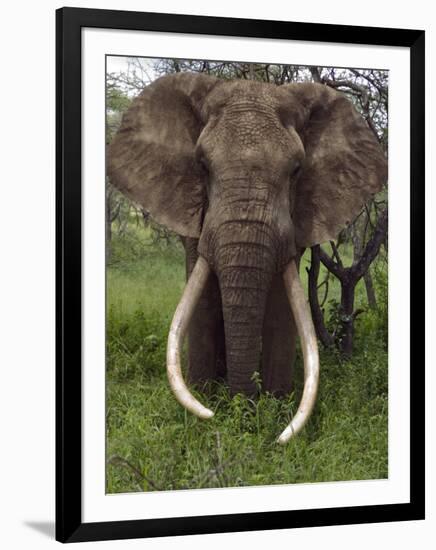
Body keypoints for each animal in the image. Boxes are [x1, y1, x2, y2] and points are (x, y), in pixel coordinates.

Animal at [107, 72, 386, 444]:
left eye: (296, 170)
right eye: (202, 165)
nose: (238, 410)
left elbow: (282, 305)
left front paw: (275, 410)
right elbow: (203, 301)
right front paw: (205, 407)